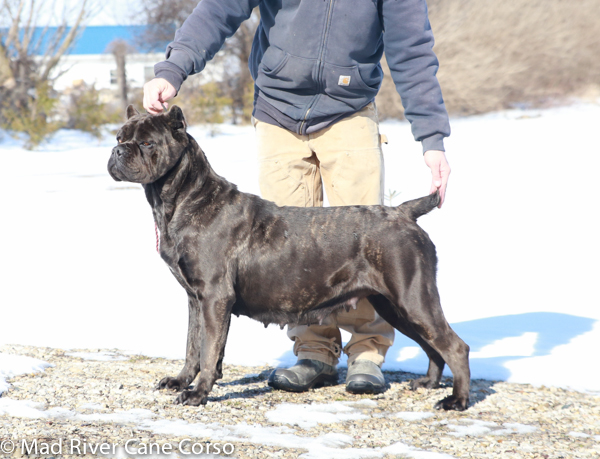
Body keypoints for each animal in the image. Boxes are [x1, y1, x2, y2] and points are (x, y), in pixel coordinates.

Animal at [110, 106, 472, 412]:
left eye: (146, 142)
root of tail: (404, 212)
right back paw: (428, 382)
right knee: (432, 345)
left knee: (454, 346)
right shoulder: (195, 299)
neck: (187, 198)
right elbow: (192, 345)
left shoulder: (214, 297)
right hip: (395, 305)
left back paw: (456, 400)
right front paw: (181, 380)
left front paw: (198, 393)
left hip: (413, 298)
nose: (117, 151)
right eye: (119, 137)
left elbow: (209, 348)